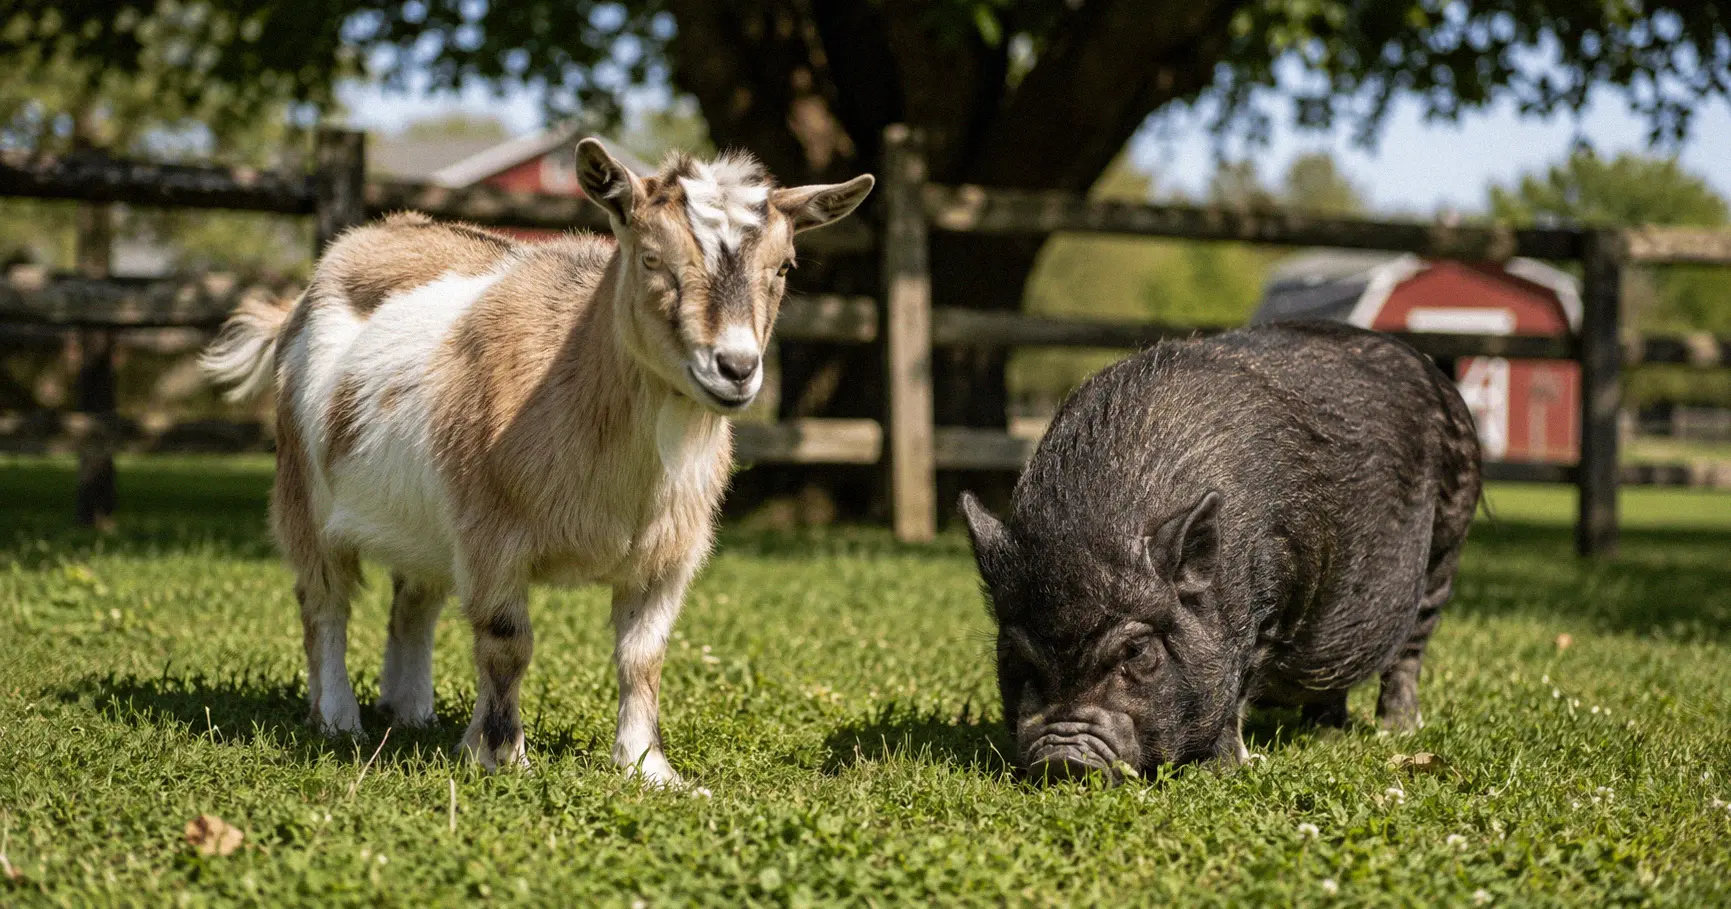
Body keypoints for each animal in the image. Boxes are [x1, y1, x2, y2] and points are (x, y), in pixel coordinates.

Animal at [201, 140, 873, 786]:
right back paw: (339, 719)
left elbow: (643, 655)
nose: (735, 368)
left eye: (783, 267)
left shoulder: (668, 555)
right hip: (304, 492)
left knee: (413, 603)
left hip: (426, 521)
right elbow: (507, 642)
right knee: (325, 603)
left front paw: (648, 769)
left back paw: (411, 711)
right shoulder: (492, 537)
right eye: (651, 258)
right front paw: (504, 760)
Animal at [960, 321, 1481, 781]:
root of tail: (1435, 372)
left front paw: (1224, 768)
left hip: (1447, 543)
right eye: (1013, 654)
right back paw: (1327, 731)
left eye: (1136, 650)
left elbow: (1236, 688)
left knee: (1410, 649)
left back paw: (1397, 730)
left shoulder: (1276, 597)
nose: (1062, 760)